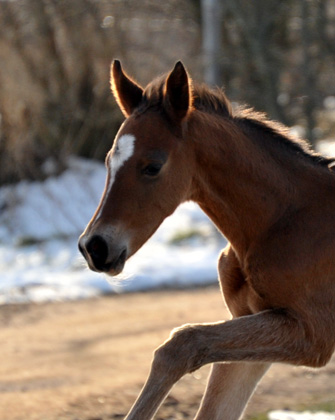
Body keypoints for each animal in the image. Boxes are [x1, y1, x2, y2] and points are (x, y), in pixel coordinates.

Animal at [79, 60, 335, 418]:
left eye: (153, 166)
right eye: (108, 162)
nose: (94, 247)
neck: (285, 220)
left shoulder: (313, 334)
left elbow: (181, 344)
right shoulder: (253, 324)